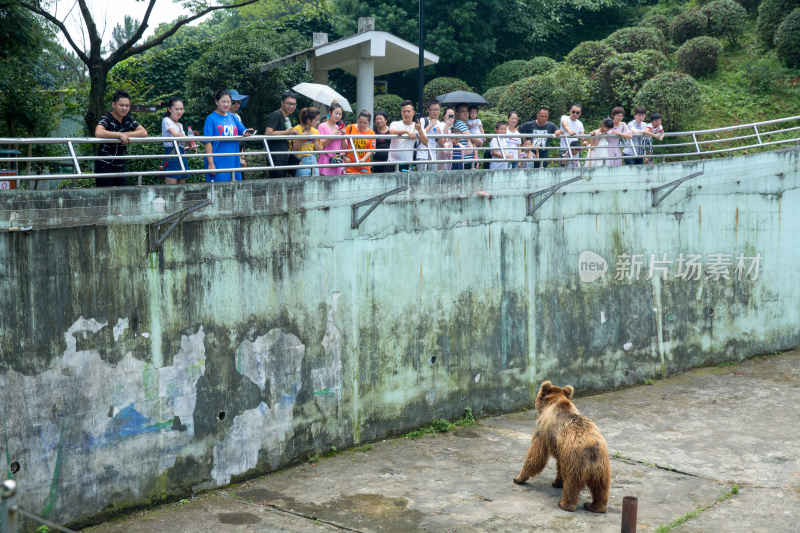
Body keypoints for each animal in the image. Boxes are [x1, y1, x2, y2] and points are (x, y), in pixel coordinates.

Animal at [512, 378, 612, 512]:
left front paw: (518, 478)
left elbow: (536, 455)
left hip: (575, 463)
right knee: (600, 488)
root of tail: (592, 451)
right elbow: (558, 464)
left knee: (571, 484)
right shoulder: (561, 449)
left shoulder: (543, 431)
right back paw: (595, 506)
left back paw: (565, 504)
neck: (552, 403)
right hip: (602, 468)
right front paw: (557, 482)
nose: (534, 401)